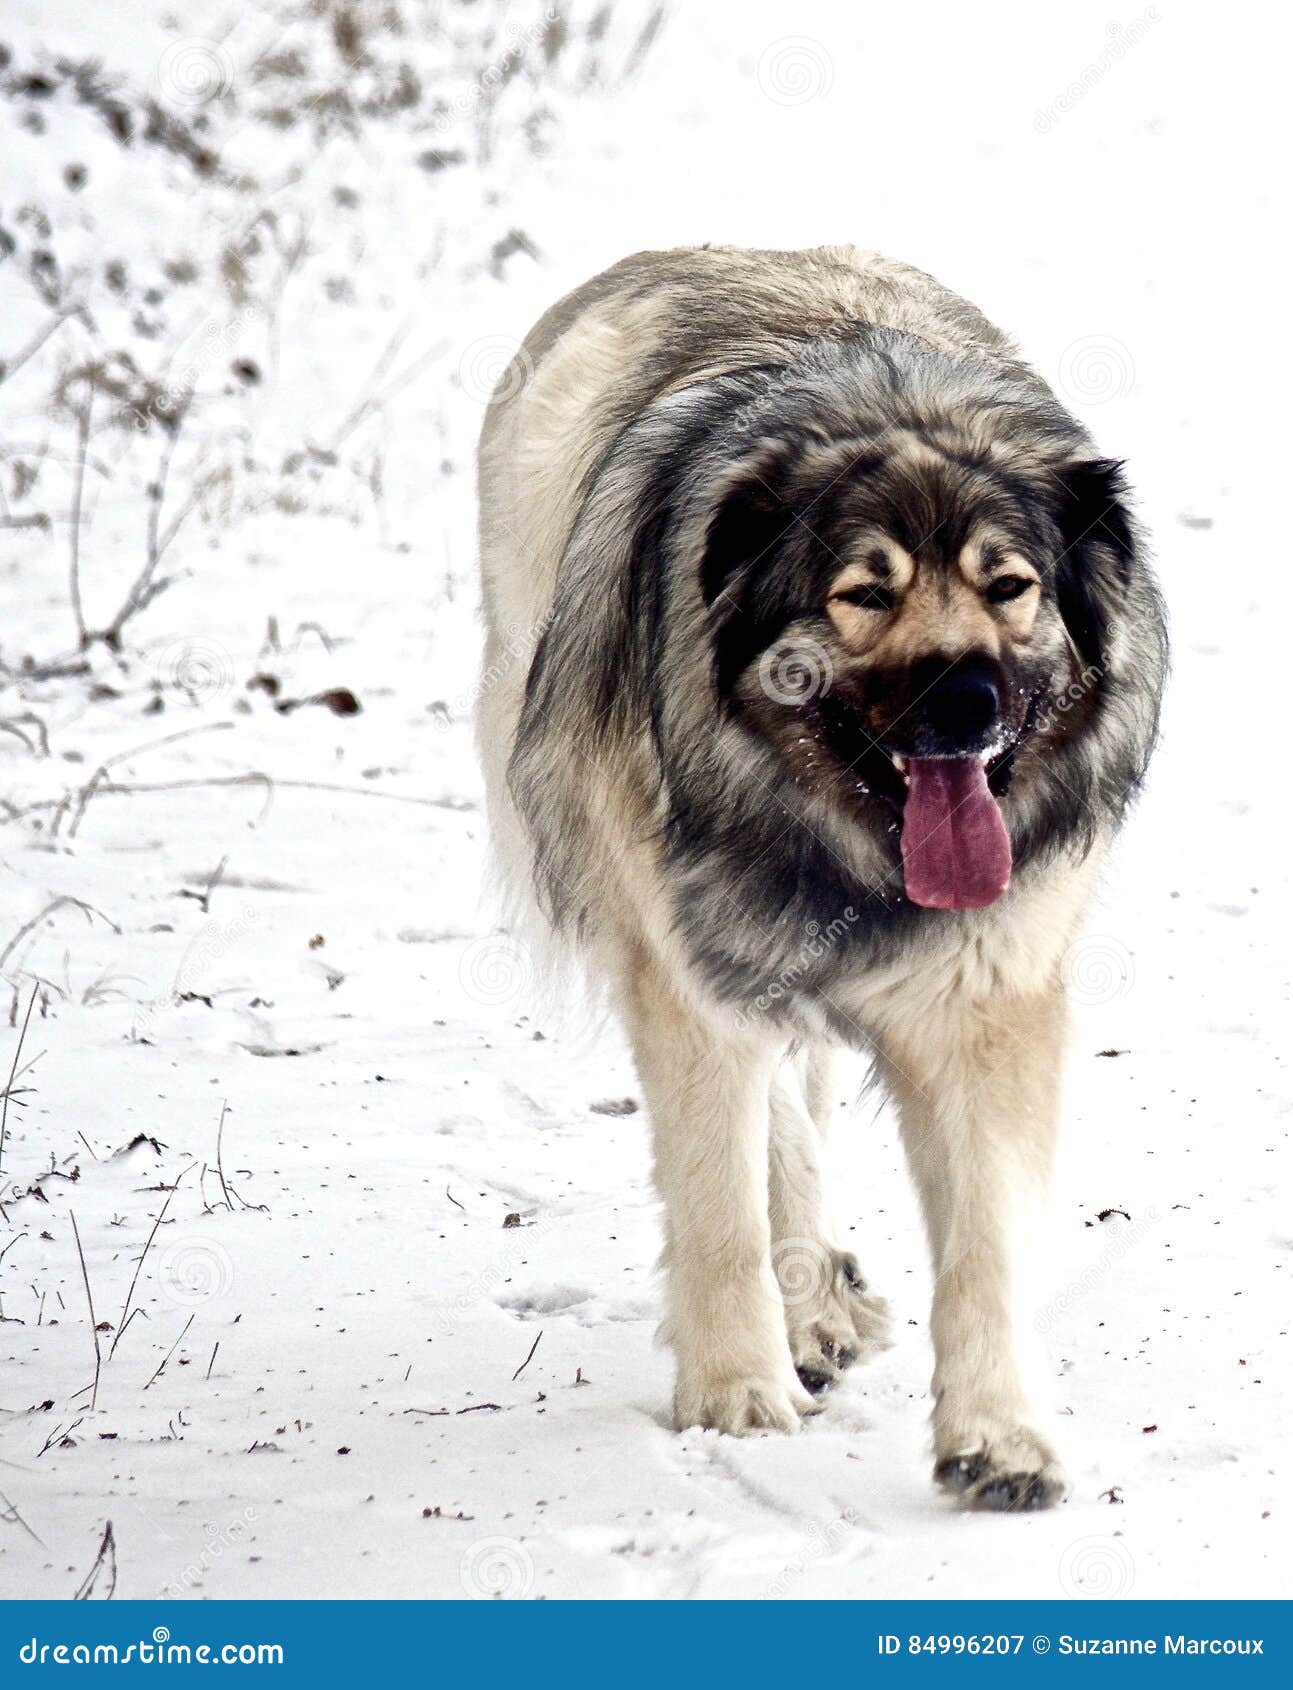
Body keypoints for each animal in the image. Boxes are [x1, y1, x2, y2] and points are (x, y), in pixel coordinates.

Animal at [473, 245, 1169, 1514]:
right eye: (864, 593)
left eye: (1010, 586)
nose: (964, 701)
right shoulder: (687, 971)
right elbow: (719, 1197)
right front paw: (735, 1394)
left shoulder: (988, 1000)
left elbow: (987, 1235)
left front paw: (1000, 1436)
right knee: (772, 1111)